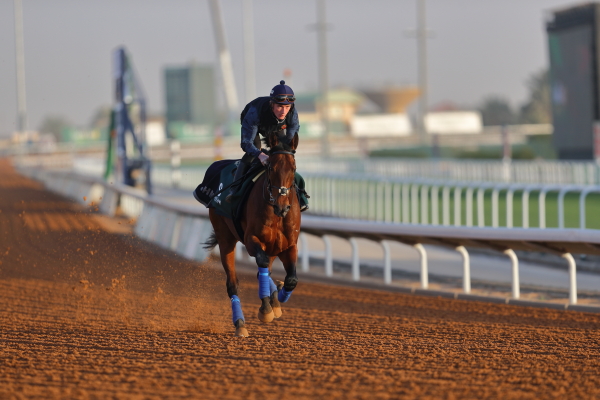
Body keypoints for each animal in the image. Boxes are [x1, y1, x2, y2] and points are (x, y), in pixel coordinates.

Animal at [204, 132, 302, 338]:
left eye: (293, 168)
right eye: (271, 167)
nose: (282, 207)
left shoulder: (289, 245)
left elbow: (291, 279)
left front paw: (278, 296)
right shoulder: (252, 241)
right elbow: (261, 263)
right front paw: (266, 309)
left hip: (272, 247)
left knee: (263, 271)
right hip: (225, 238)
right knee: (233, 283)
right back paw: (240, 324)